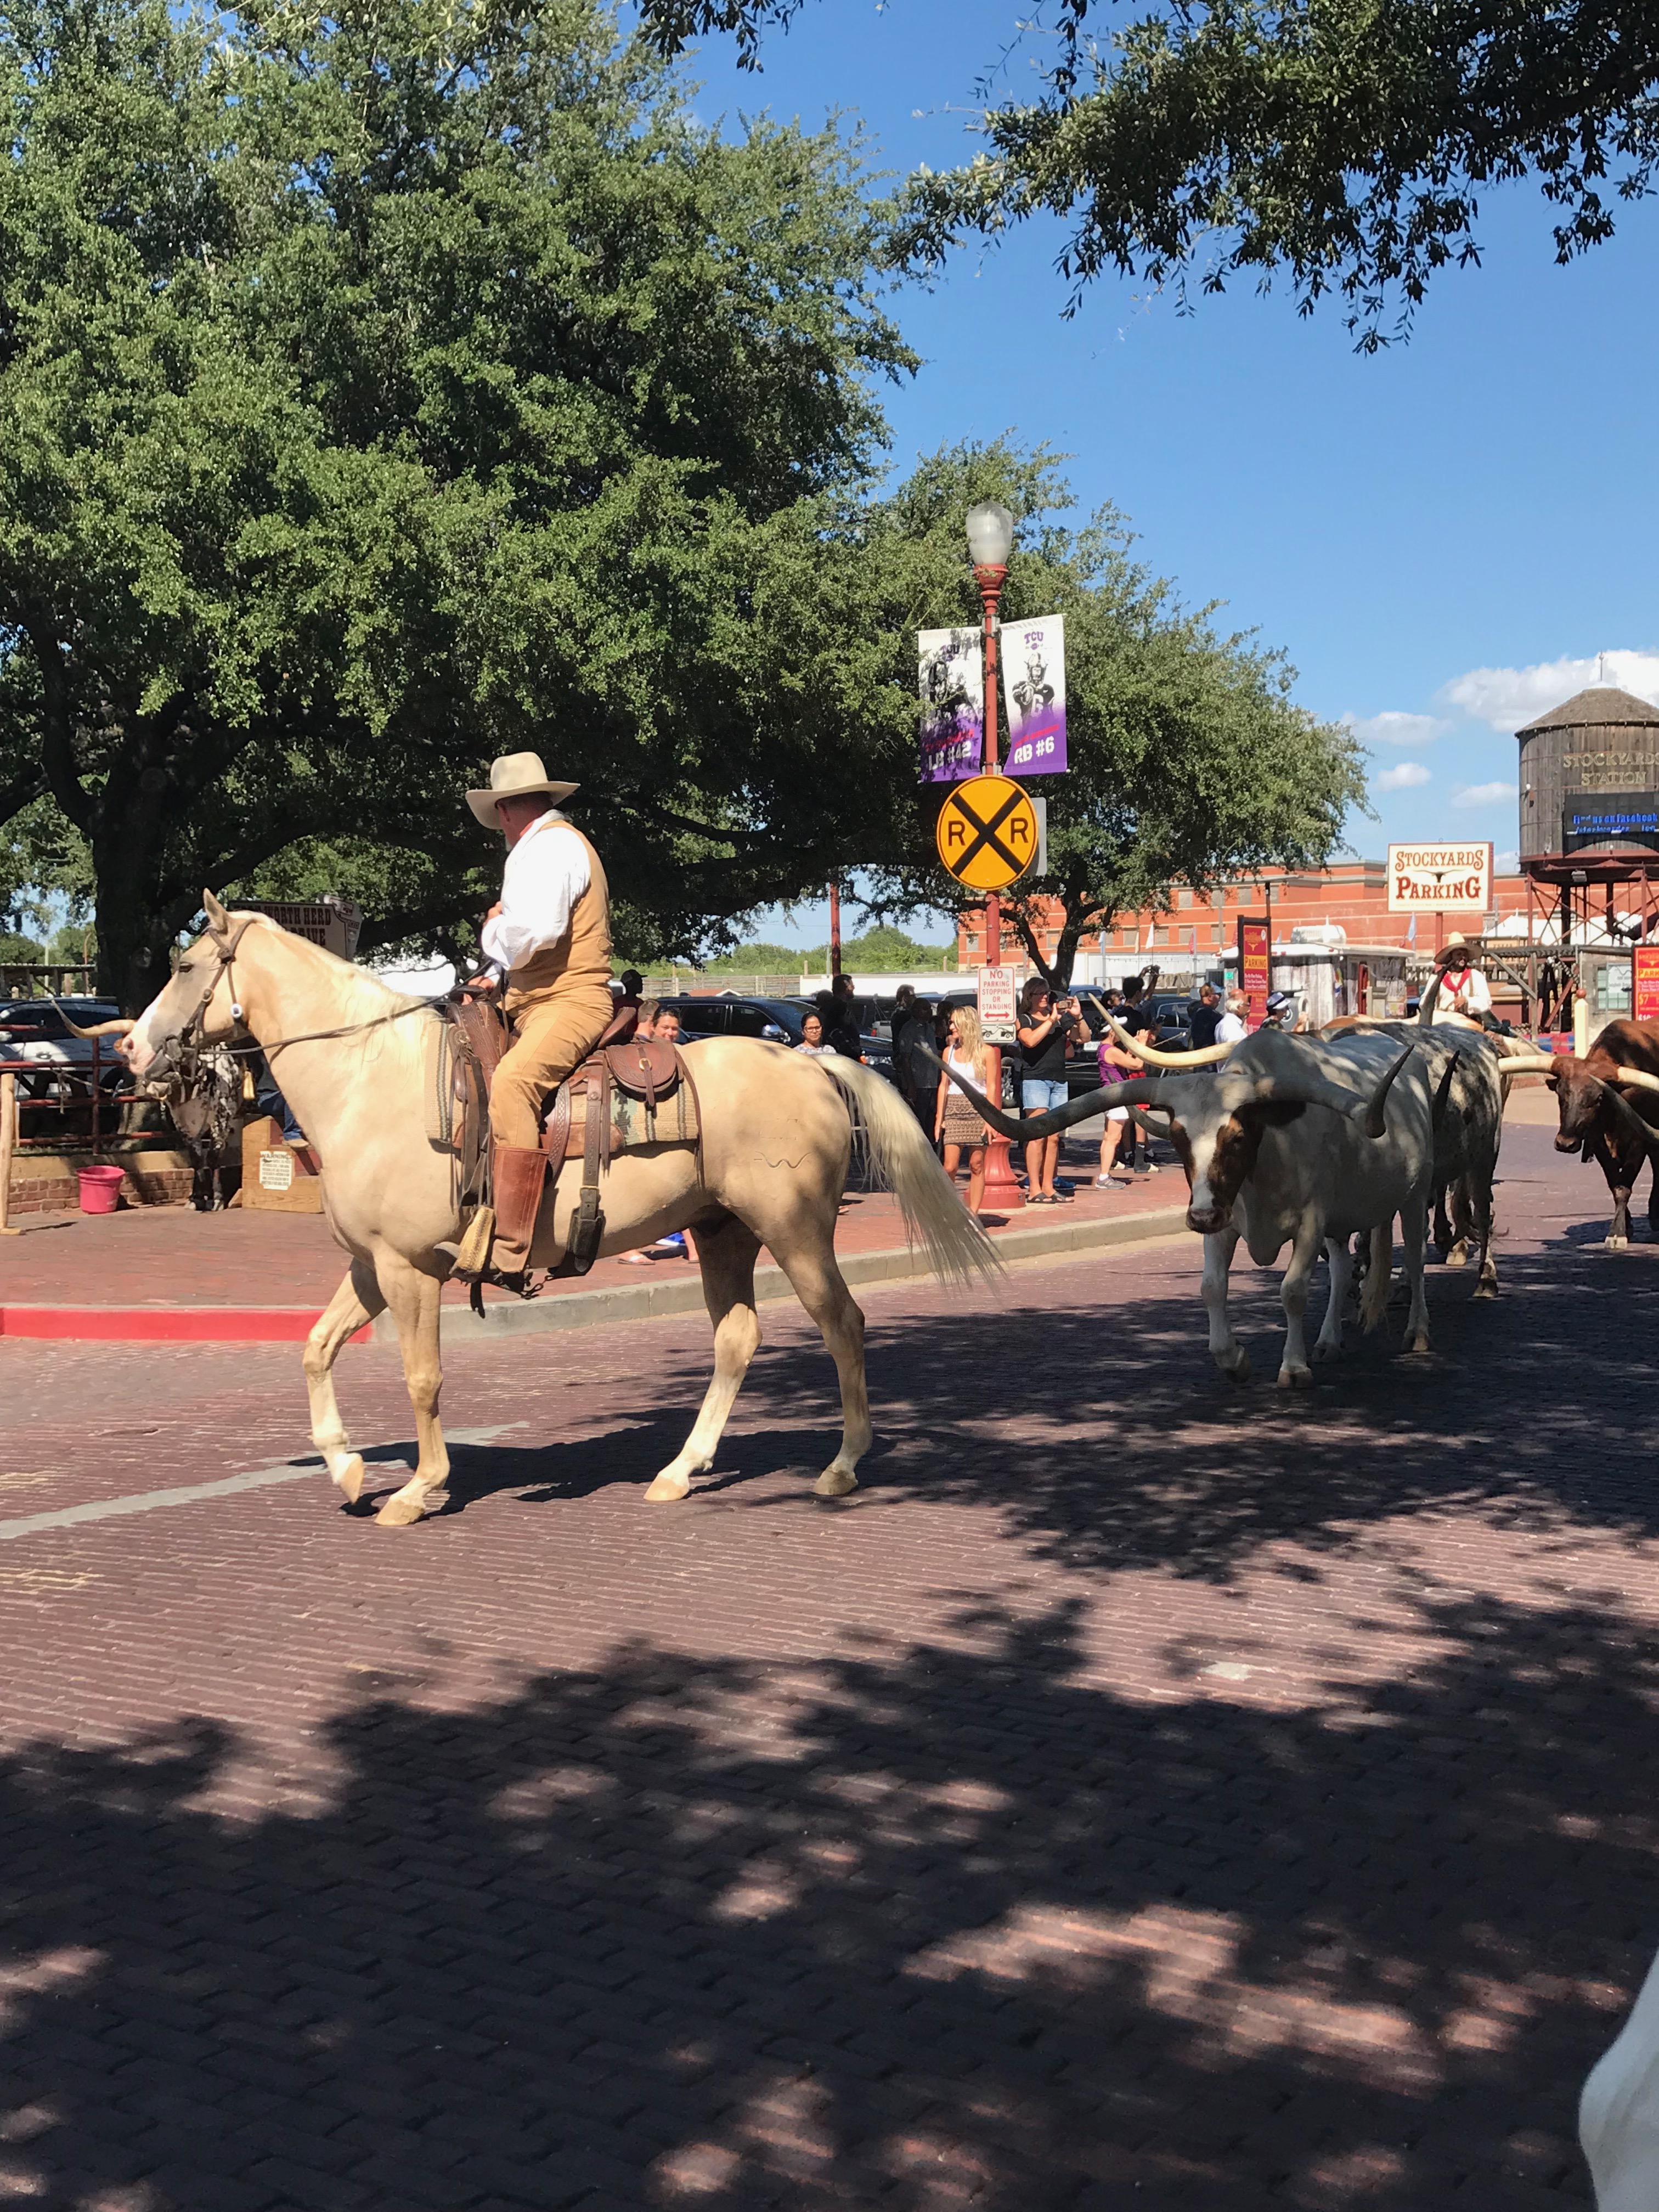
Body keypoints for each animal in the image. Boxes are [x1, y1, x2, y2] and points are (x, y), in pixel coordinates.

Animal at [113, 896, 998, 1525]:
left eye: (186, 965)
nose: (129, 1049)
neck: (370, 1077)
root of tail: (815, 1063)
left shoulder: (409, 1269)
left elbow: (422, 1378)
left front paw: (417, 1488)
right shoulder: (372, 1266)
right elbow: (316, 1349)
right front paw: (347, 1464)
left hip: (795, 1229)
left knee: (842, 1323)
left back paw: (842, 1466)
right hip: (723, 1233)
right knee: (736, 1340)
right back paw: (680, 1470)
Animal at [937, 1023, 1451, 1388]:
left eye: (1238, 1137)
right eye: (1180, 1140)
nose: (1199, 1215)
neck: (1268, 1156)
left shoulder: (1309, 1222)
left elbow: (1292, 1291)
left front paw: (1294, 1368)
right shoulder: (1226, 1223)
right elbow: (1210, 1288)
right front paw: (1234, 1359)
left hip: (1414, 1193)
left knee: (1416, 1259)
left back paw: (1418, 1333)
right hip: (1342, 1218)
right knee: (1344, 1267)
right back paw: (1328, 1341)